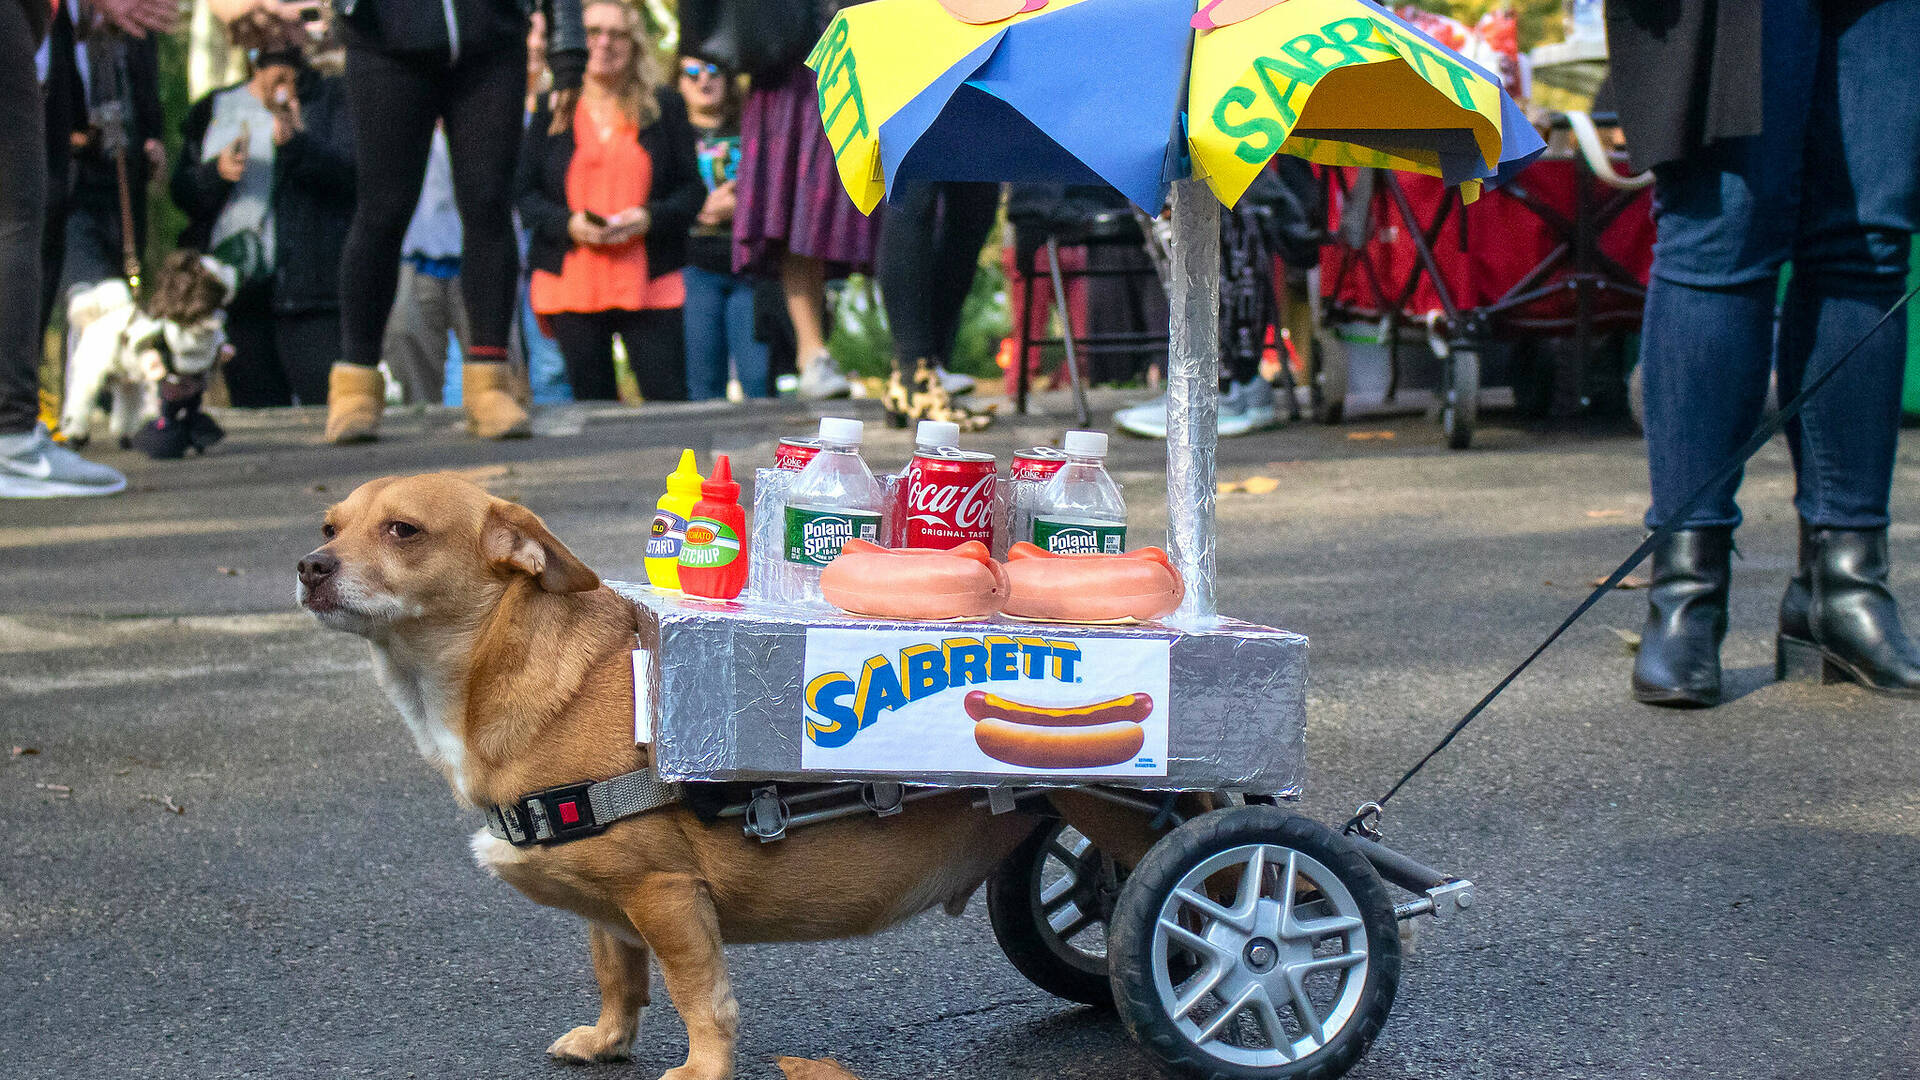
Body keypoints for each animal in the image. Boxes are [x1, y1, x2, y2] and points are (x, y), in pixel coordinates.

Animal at [62, 251, 238, 445]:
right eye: (213, 272)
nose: (230, 268)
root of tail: (97, 317)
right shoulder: (158, 372)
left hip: (126, 380)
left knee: (127, 402)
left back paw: (126, 433)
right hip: (91, 374)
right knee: (80, 402)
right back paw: (75, 432)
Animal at [301, 474, 1167, 1076]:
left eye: (404, 530)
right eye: (329, 526)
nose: (309, 567)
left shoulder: (666, 895)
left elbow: (700, 999)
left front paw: (702, 1069)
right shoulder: (614, 903)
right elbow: (616, 972)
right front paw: (609, 1039)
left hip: (1125, 812)